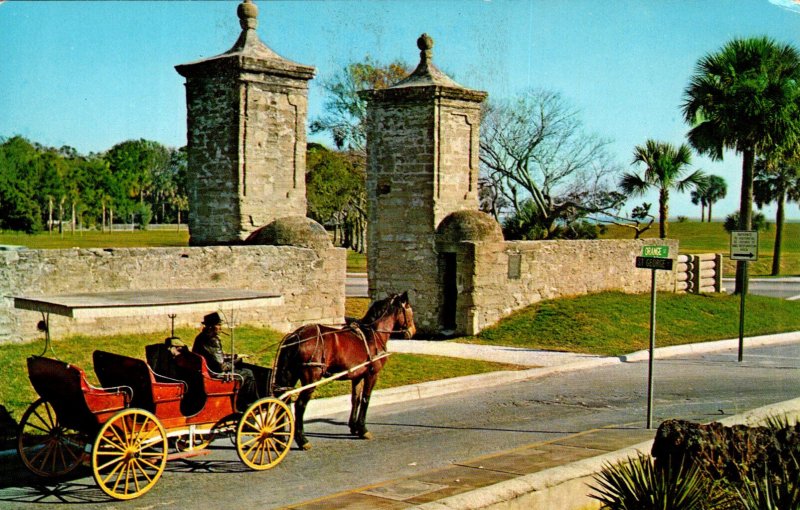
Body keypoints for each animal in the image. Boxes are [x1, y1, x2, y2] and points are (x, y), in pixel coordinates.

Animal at [272, 290, 416, 450]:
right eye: (409, 309)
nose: (413, 331)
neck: (373, 334)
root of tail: (295, 336)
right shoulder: (372, 374)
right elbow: (365, 399)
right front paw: (363, 429)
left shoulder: (358, 375)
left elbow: (356, 399)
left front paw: (354, 427)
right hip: (311, 377)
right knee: (299, 405)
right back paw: (302, 439)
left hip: (290, 375)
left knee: (283, 401)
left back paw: (281, 440)